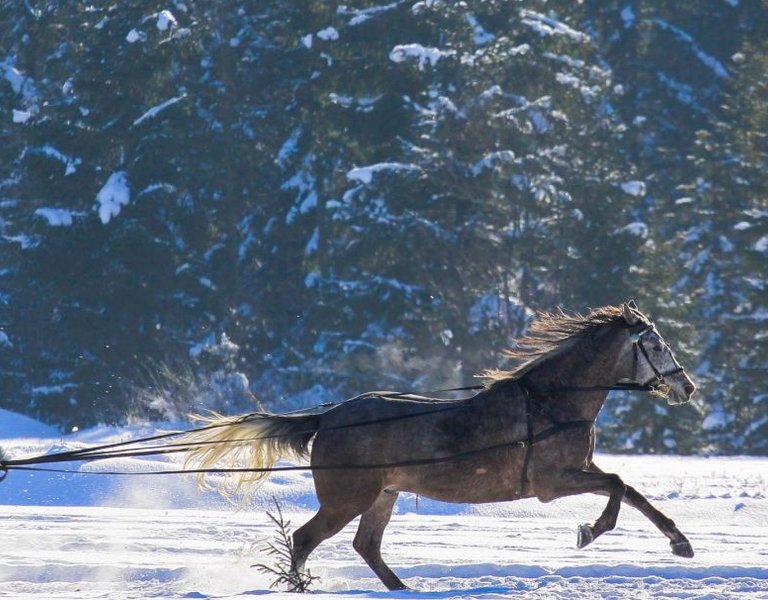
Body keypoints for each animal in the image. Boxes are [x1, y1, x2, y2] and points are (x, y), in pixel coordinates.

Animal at [184, 302, 696, 592]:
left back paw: (402, 588)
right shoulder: (552, 482)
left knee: (366, 545)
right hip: (347, 498)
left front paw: (680, 541)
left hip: (381, 496)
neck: (552, 403)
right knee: (306, 539)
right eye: (655, 344)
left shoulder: (578, 469)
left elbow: (631, 491)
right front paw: (591, 530)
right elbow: (618, 485)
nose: (686, 387)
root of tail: (327, 417)